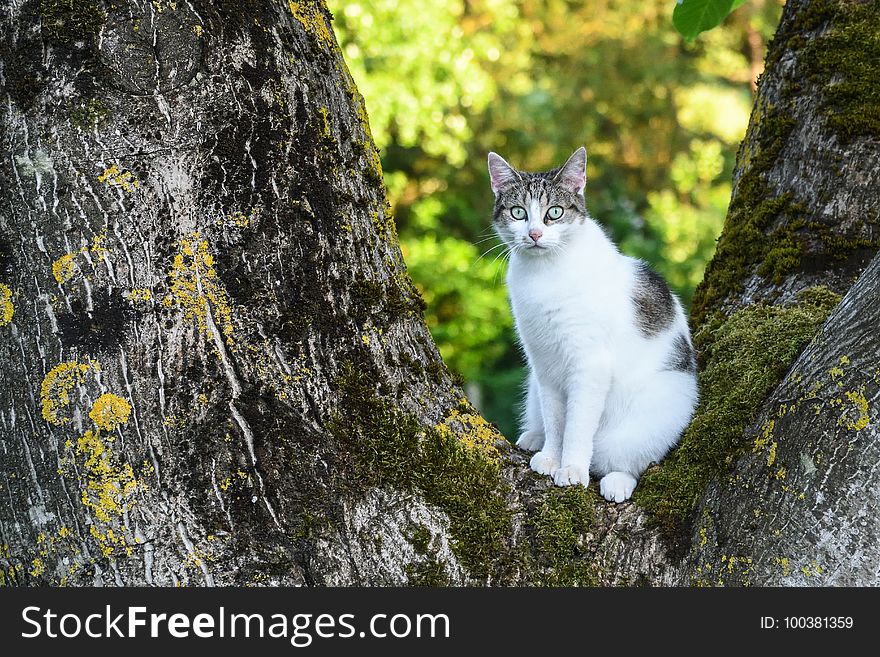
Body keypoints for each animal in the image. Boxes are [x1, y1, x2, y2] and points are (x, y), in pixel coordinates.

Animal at [484, 146, 696, 500]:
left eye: (554, 213)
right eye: (518, 213)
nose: (534, 234)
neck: (545, 273)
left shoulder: (589, 364)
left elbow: (577, 426)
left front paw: (571, 469)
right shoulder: (544, 364)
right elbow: (557, 420)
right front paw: (552, 457)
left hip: (654, 416)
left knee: (632, 460)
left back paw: (617, 481)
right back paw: (534, 437)